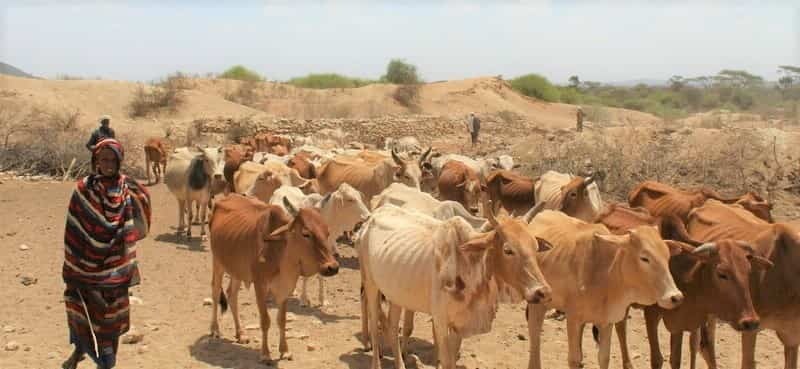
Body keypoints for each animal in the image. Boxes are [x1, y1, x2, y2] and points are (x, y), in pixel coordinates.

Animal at [209, 194, 338, 364]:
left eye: (327, 232)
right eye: (306, 234)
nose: (332, 267)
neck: (279, 250)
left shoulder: (285, 288)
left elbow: (281, 320)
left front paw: (285, 351)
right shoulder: (260, 285)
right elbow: (265, 321)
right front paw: (265, 354)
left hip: (236, 270)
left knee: (232, 295)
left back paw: (241, 334)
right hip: (217, 262)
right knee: (215, 292)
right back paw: (215, 329)